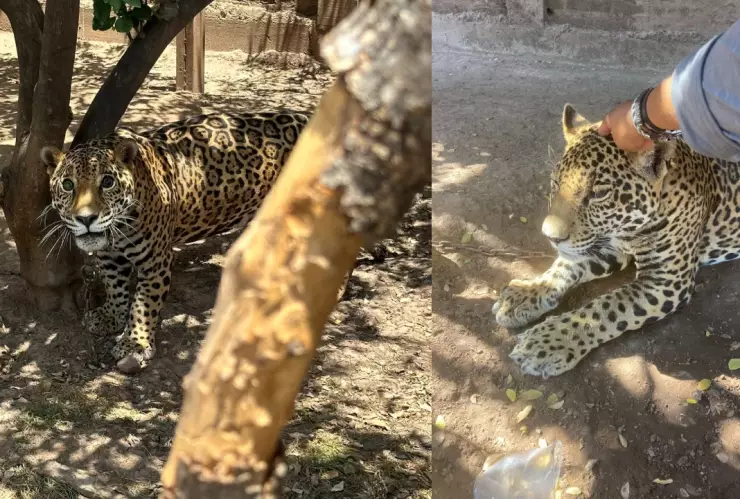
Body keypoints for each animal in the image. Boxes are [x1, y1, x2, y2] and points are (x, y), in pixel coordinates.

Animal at [41, 110, 317, 374]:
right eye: (68, 185)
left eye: (107, 182)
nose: (86, 218)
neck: (118, 230)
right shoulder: (109, 257)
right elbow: (114, 287)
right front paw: (111, 317)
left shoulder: (155, 261)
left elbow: (143, 304)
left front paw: (135, 344)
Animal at [493, 103, 740, 378]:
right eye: (555, 182)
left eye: (598, 193)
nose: (550, 237)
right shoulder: (607, 246)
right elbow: (564, 267)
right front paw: (526, 293)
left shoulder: (665, 281)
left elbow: (606, 307)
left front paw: (546, 343)